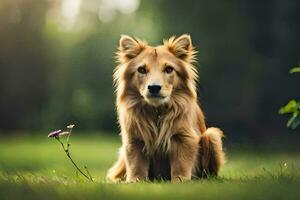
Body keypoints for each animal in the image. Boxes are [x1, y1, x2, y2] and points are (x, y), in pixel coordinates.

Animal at [106, 34, 224, 183]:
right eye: (141, 69)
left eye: (169, 69)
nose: (154, 87)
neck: (157, 111)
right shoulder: (134, 139)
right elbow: (135, 165)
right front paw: (134, 181)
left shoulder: (184, 137)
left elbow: (181, 164)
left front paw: (180, 180)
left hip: (212, 135)